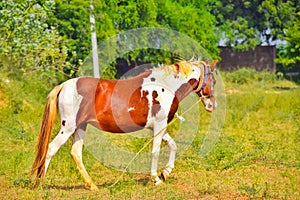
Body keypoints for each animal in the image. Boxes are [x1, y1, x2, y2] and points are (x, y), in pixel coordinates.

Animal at [31, 59, 217, 189]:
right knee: (51, 149)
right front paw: (156, 179)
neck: (165, 86)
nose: (212, 106)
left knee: (76, 153)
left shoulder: (159, 126)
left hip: (80, 127)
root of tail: (64, 85)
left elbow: (173, 145)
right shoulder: (159, 125)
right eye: (213, 81)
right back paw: (39, 184)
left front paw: (166, 172)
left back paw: (92, 186)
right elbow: (156, 152)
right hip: (68, 127)